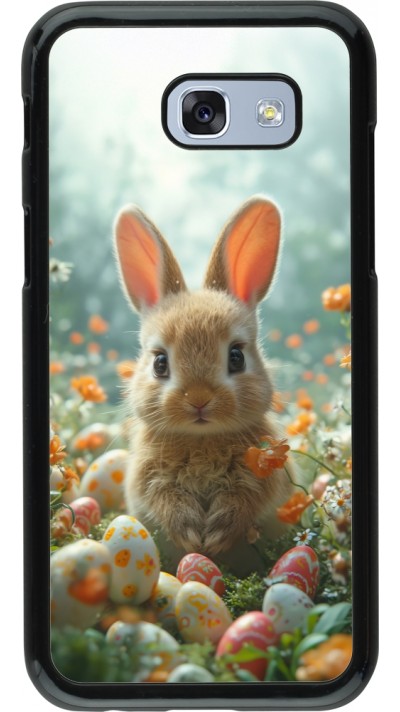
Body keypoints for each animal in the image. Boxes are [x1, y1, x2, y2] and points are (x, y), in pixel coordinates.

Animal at [114, 196, 294, 569]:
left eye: (236, 357)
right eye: (160, 363)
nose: (198, 399)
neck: (202, 439)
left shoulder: (263, 475)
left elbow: (245, 500)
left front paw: (217, 535)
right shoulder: (148, 478)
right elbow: (164, 499)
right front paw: (190, 534)